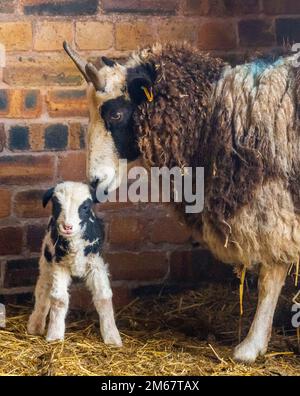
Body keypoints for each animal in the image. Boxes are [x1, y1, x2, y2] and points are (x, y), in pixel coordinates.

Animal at [27, 181, 122, 344]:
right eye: (56, 204)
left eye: (85, 207)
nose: (67, 227)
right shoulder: (59, 265)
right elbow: (59, 299)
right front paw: (55, 335)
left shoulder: (96, 264)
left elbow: (103, 297)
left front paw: (112, 337)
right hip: (46, 262)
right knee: (42, 290)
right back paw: (35, 325)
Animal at [62, 41, 298, 362]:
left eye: (116, 115)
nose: (95, 183)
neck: (216, 114)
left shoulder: (273, 203)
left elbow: (269, 277)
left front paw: (250, 346)